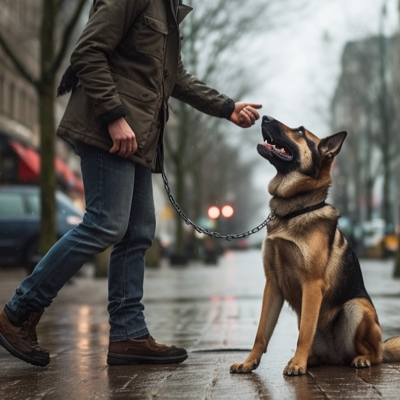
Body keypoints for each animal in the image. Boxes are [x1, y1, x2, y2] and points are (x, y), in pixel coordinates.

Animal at [230, 115, 400, 376]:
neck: (294, 210)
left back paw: (360, 359)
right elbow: (261, 333)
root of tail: (336, 357)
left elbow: (304, 333)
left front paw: (297, 364)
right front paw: (249, 363)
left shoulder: (311, 285)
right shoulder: (272, 284)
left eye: (300, 131)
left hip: (356, 307)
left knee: (377, 354)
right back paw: (310, 359)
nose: (264, 117)